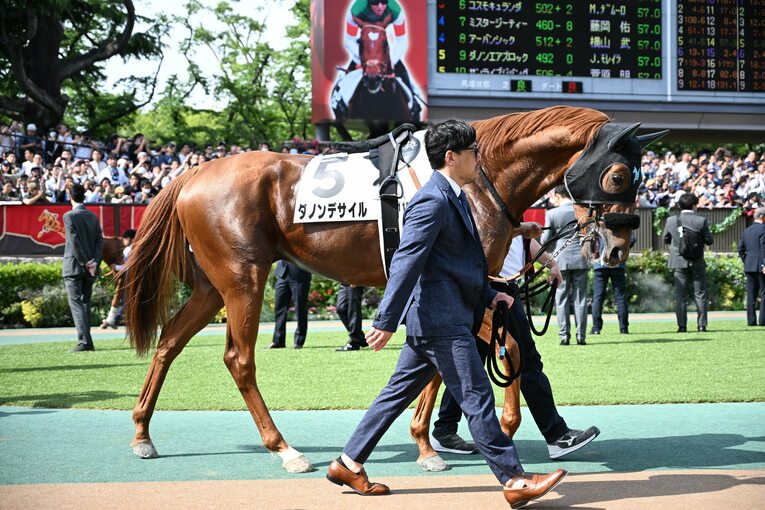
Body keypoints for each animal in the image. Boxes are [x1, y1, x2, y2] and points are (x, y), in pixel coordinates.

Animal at [123, 106, 666, 473]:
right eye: (619, 174)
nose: (619, 247)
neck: (476, 178)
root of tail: (192, 173)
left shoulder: (466, 284)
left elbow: (472, 352)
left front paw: (445, 438)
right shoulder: (451, 282)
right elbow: (471, 352)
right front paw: (441, 442)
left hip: (212, 286)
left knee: (169, 342)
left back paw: (143, 434)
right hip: (243, 280)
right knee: (238, 358)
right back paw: (285, 449)